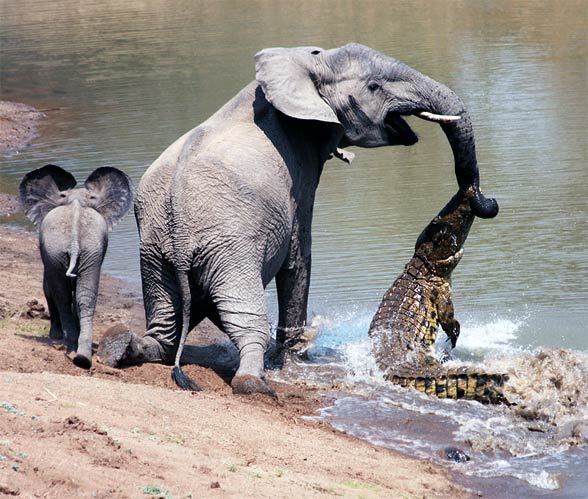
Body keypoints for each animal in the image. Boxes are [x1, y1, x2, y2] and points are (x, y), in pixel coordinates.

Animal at [20, 166, 134, 370]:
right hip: (89, 250)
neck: (76, 199)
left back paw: (71, 345)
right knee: (85, 297)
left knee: (63, 297)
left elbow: (48, 286)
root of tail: (74, 239)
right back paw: (82, 356)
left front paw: (55, 336)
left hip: (58, 250)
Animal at [99, 43, 498, 396]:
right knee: (246, 323)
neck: (306, 65)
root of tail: (180, 234)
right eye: (374, 86)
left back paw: (118, 346)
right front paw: (295, 361)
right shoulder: (298, 171)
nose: (485, 200)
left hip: (154, 253)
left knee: (165, 328)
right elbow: (298, 255)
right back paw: (253, 383)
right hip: (229, 251)